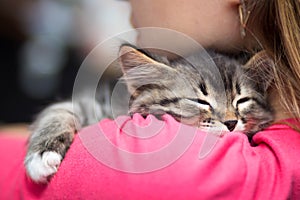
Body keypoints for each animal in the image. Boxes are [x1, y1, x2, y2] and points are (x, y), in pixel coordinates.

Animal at [24, 44, 274, 183]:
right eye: (199, 101)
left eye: (242, 101)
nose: (231, 123)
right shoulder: (90, 104)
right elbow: (58, 112)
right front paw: (42, 156)